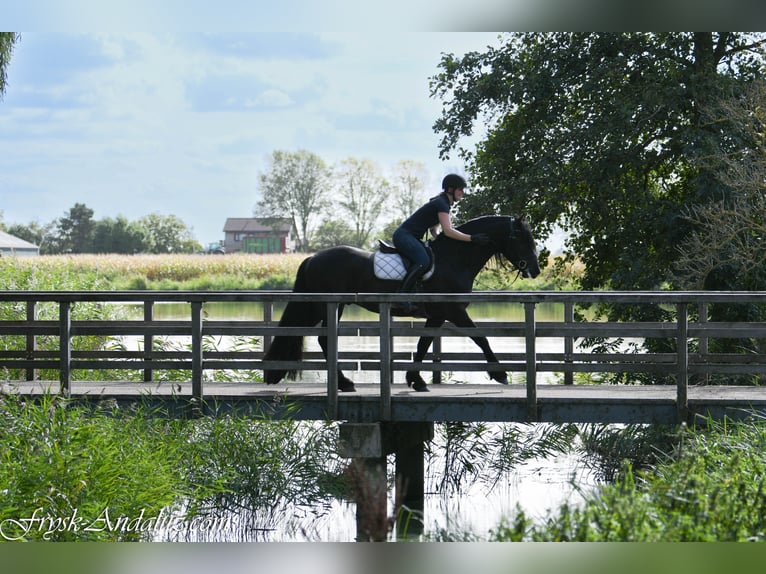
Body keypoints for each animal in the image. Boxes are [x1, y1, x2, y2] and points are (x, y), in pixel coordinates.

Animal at [262, 215, 541, 392]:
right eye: (522, 239)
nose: (535, 270)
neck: (454, 259)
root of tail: (312, 258)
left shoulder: (438, 315)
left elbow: (423, 344)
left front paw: (415, 380)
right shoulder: (453, 310)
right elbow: (480, 337)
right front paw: (500, 373)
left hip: (325, 305)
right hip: (328, 305)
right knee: (323, 339)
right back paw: (344, 383)